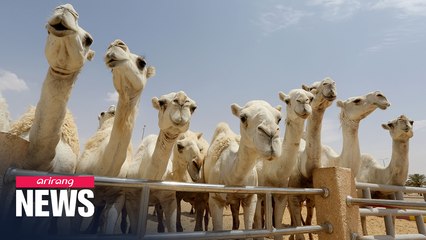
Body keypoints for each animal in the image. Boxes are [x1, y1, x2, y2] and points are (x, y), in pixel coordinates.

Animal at [204, 100, 282, 232]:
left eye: (279, 118)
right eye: (243, 117)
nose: (271, 133)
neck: (234, 179)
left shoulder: (250, 198)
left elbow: (248, 227)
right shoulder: (215, 199)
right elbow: (218, 228)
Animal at [255, 89, 314, 239]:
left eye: (311, 98)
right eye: (287, 100)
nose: (303, 102)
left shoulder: (281, 194)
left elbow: (279, 226)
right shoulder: (258, 192)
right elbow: (257, 221)